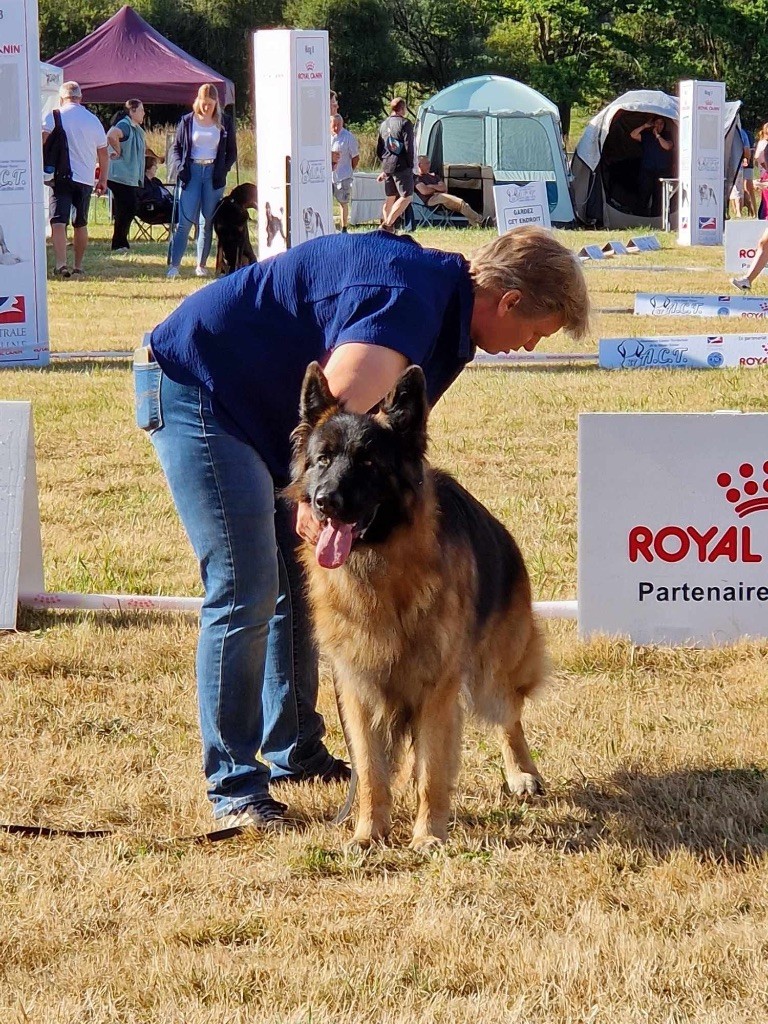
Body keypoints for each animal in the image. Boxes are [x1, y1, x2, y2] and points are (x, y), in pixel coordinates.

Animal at [288, 364, 548, 851]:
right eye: (323, 460)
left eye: (369, 463)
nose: (324, 502)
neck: (380, 573)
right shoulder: (359, 690)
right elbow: (372, 774)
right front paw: (368, 834)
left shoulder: (438, 688)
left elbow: (434, 772)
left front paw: (428, 836)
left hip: (493, 670)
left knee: (509, 715)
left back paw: (522, 773)